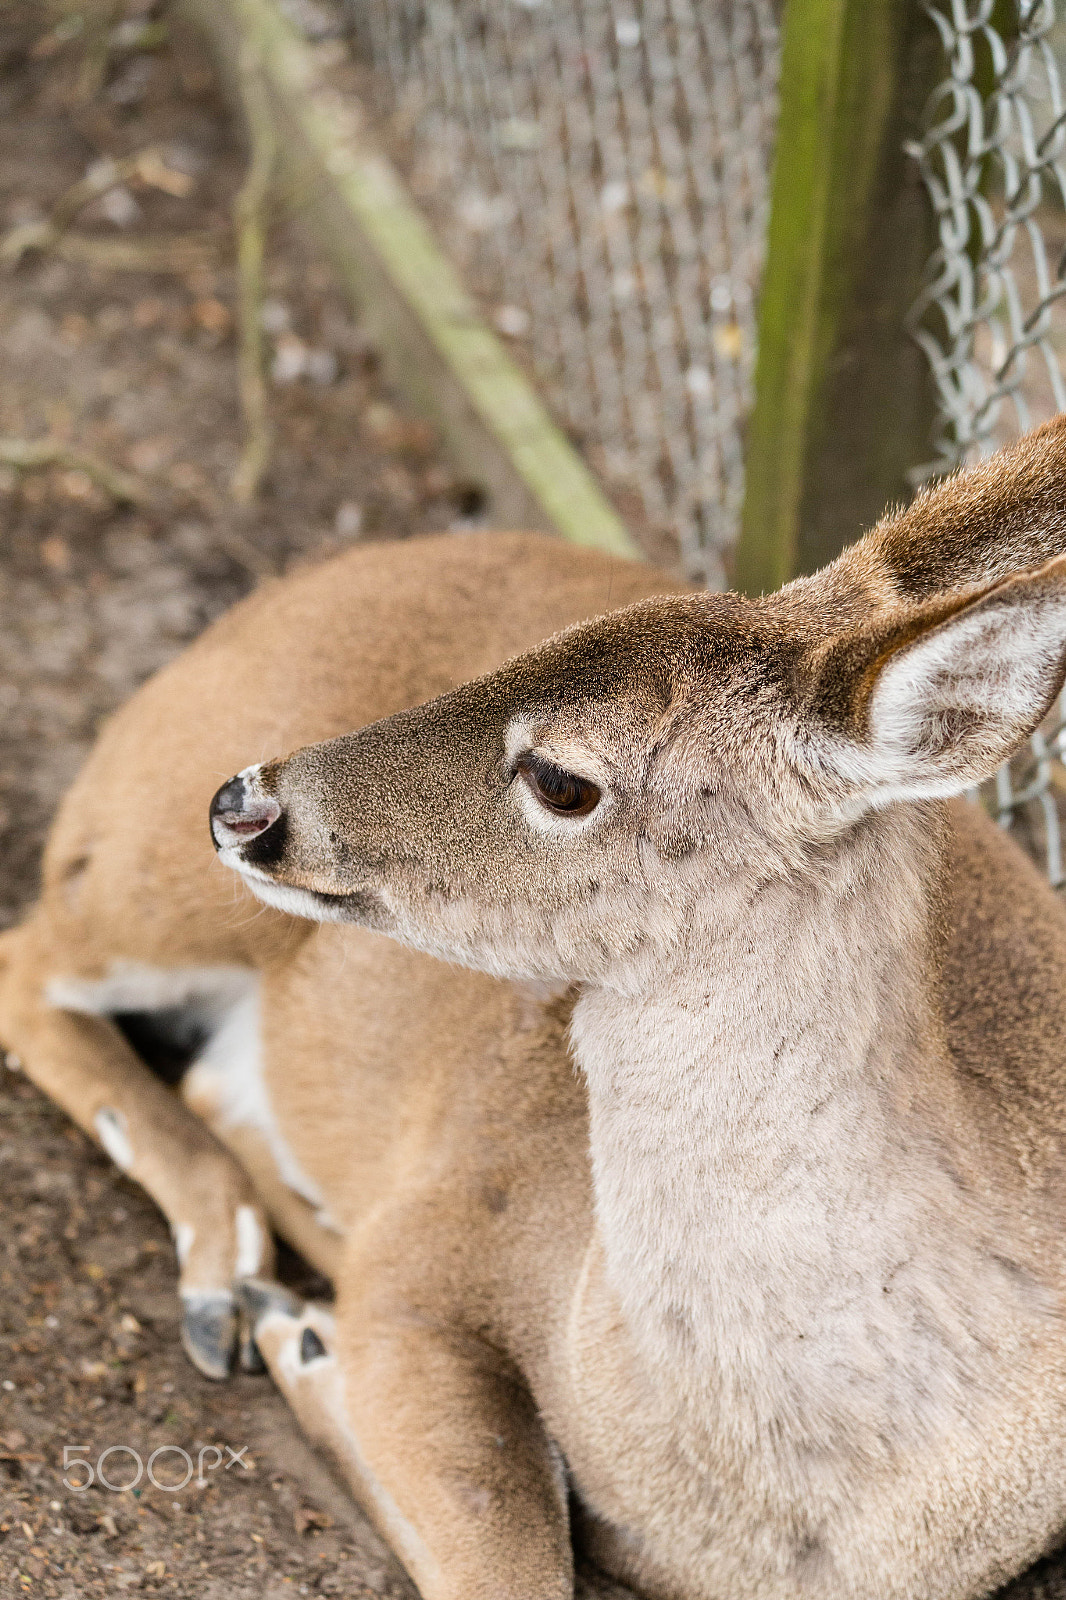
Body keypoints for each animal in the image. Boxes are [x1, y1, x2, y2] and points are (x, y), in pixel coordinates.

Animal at [7, 420, 1066, 1599]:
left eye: (561, 779)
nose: (245, 804)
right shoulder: (442, 1231)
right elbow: (503, 1544)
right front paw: (305, 1339)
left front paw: (304, 1332)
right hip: (154, 873)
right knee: (33, 960)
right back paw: (225, 1290)